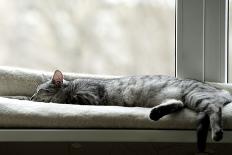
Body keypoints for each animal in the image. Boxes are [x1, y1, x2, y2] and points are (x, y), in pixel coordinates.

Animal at [30, 69, 232, 152]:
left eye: (40, 91)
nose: (31, 97)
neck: (72, 86)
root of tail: (223, 91)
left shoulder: (89, 97)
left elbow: (65, 100)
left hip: (196, 96)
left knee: (214, 107)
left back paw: (217, 132)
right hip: (182, 98)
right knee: (178, 104)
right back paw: (155, 114)